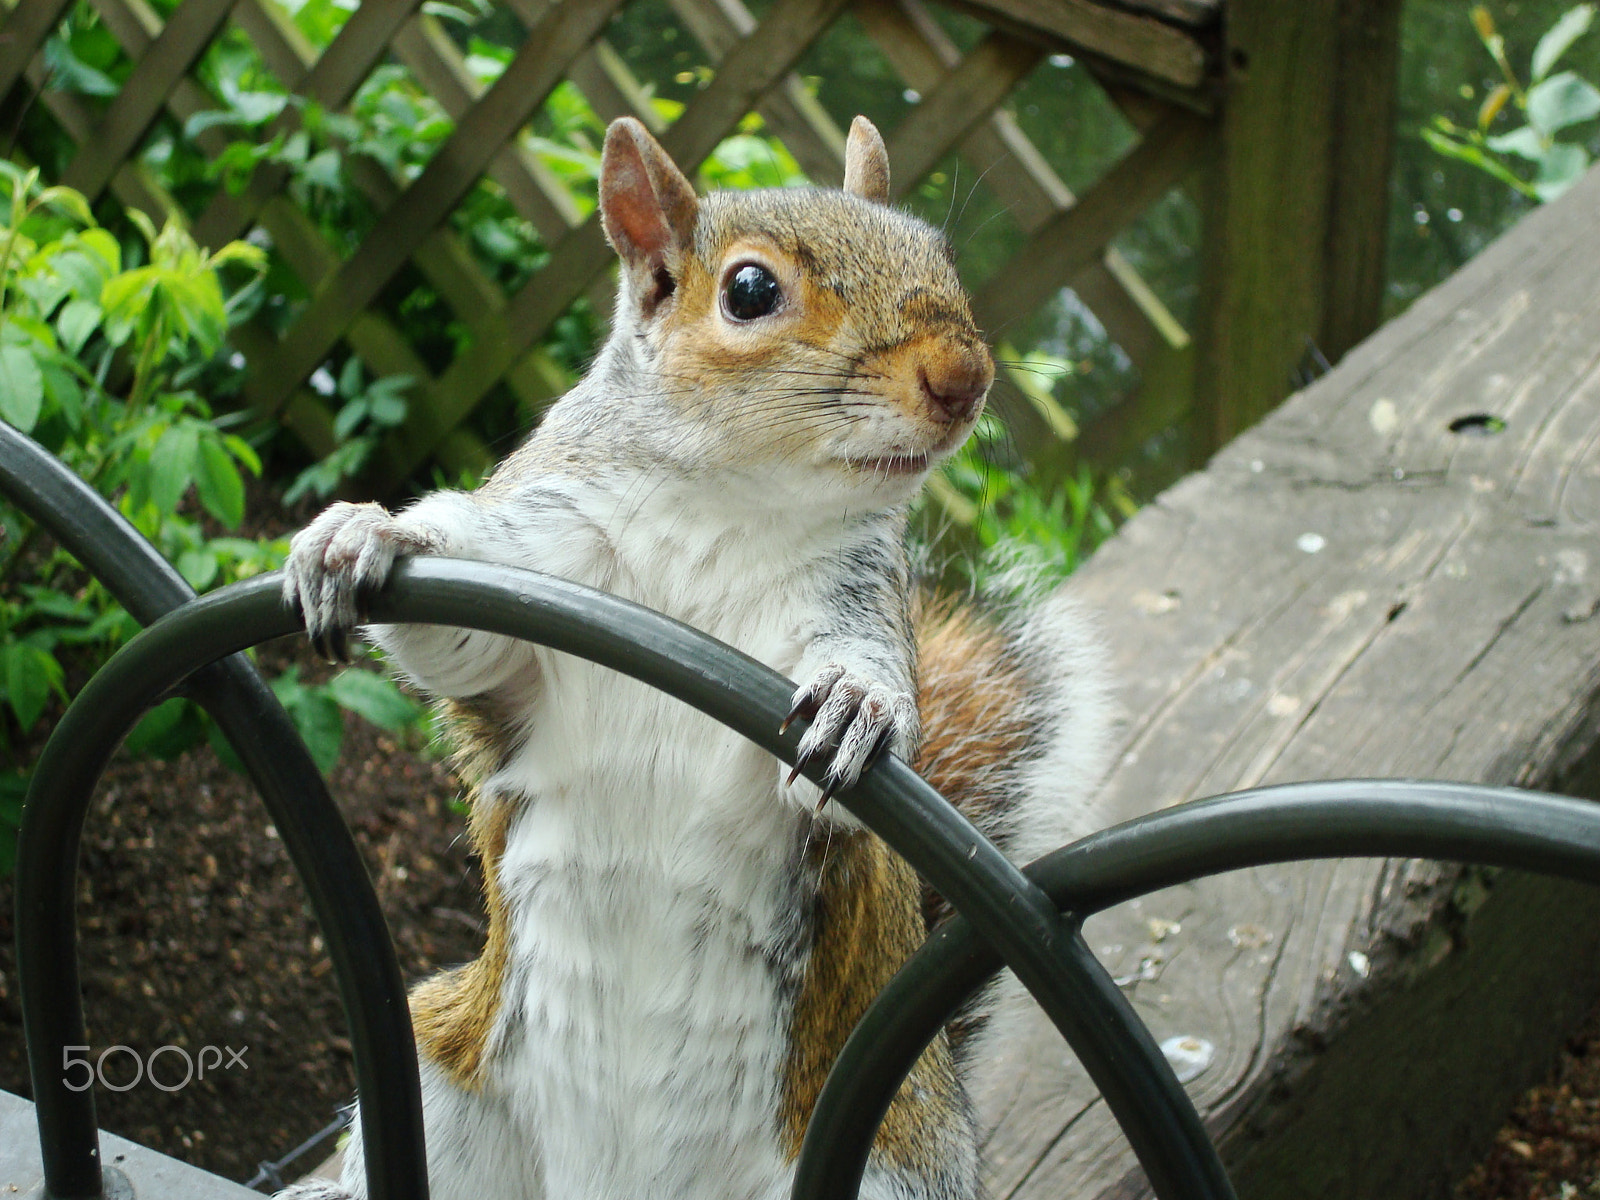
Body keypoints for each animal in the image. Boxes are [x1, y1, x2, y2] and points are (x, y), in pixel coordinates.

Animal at [275, 115, 1107, 1200]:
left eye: (938, 252)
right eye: (750, 290)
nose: (964, 378)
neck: (728, 504)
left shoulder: (855, 594)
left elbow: (856, 707)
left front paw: (859, 704)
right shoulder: (538, 577)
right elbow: (456, 644)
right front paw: (360, 533)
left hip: (889, 1170)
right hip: (441, 1071)